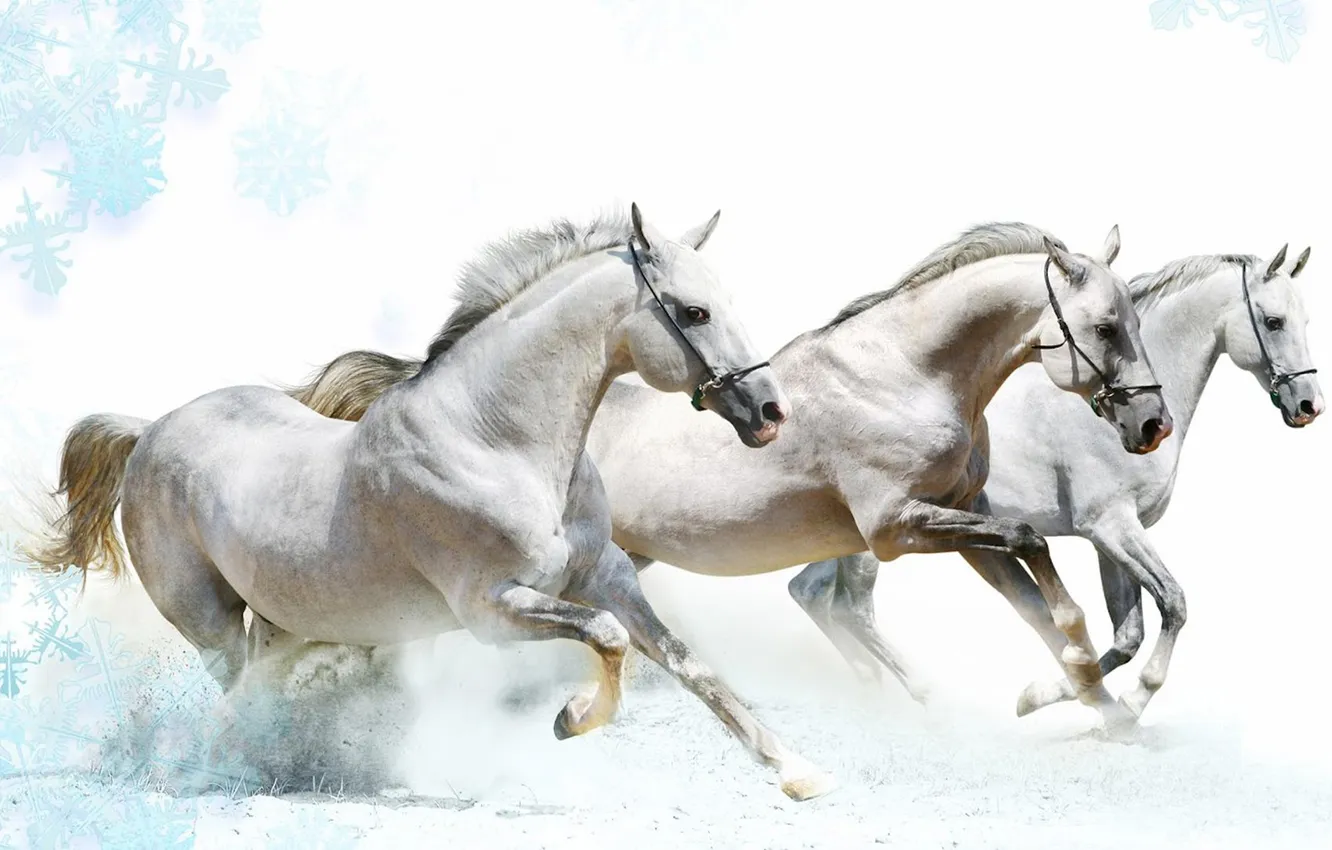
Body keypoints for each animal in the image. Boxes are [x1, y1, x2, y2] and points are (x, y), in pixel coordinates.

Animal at [24, 204, 842, 802]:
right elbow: (609, 640)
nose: (771, 411)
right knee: (241, 693)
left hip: (285, 621)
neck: (495, 439)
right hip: (210, 622)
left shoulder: (605, 575)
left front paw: (799, 773)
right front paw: (571, 721)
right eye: (694, 312)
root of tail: (150, 429)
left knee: (262, 687)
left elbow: (686, 663)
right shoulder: (492, 610)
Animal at [278, 221, 1173, 728]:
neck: (907, 373)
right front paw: (1079, 683)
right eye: (1105, 325)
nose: (1151, 425)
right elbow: (1033, 548)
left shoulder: (958, 523)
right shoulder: (896, 528)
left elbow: (1037, 591)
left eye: (1132, 319)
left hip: (609, 563)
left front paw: (1093, 707)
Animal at [793, 244, 1322, 724]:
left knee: (810, 592)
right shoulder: (1111, 527)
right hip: (880, 539)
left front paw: (1052, 695)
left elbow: (1127, 634)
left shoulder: (1111, 538)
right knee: (851, 608)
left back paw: (871, 689)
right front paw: (1125, 702)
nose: (1308, 405)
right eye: (1274, 321)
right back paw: (921, 696)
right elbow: (1173, 603)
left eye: (1305, 322)